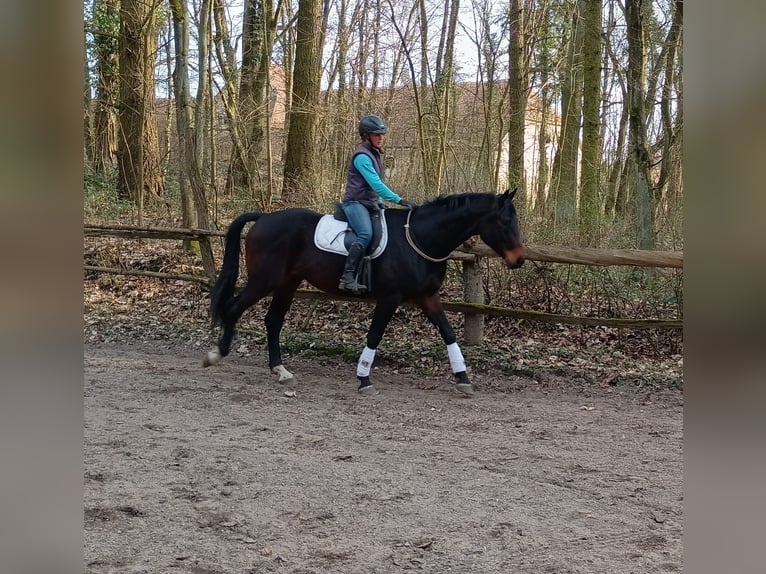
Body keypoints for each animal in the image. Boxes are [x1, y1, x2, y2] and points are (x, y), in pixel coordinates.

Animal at [203, 189, 525, 396]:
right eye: (504, 222)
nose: (519, 260)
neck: (419, 238)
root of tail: (263, 218)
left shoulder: (427, 297)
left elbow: (448, 333)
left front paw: (463, 377)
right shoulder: (390, 298)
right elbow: (374, 335)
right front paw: (364, 377)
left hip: (287, 283)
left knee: (272, 321)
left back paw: (280, 370)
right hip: (265, 280)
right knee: (234, 308)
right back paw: (216, 354)